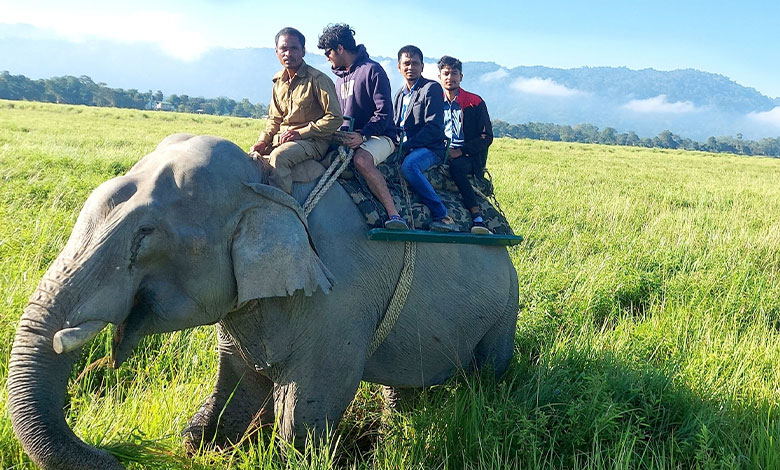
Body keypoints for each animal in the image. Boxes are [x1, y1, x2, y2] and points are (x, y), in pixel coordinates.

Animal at [7, 134, 516, 468]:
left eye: (143, 238)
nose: (117, 453)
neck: (265, 186)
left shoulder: (340, 299)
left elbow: (305, 410)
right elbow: (236, 383)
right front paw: (197, 445)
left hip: (504, 309)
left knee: (491, 371)